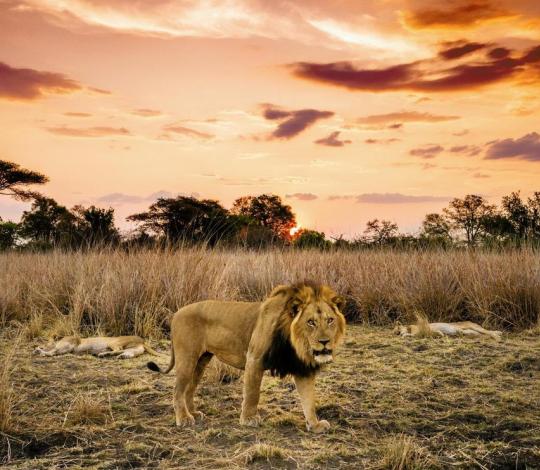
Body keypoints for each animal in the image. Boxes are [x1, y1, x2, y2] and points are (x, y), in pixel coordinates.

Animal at [147, 282, 346, 434]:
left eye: (330, 320)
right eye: (311, 322)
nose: (325, 342)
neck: (295, 343)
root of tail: (176, 313)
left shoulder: (302, 369)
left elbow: (309, 400)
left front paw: (315, 425)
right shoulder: (254, 359)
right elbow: (252, 393)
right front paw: (249, 419)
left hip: (201, 361)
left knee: (189, 389)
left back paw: (194, 413)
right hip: (187, 359)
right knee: (177, 390)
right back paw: (184, 419)